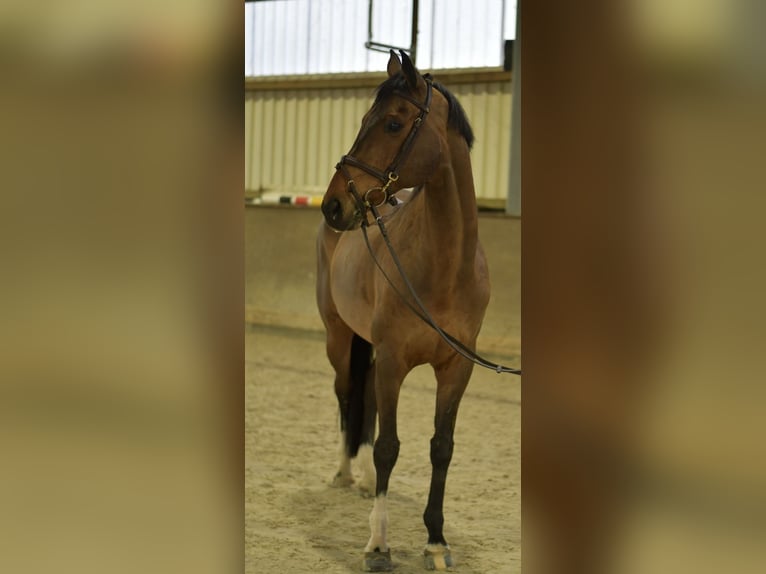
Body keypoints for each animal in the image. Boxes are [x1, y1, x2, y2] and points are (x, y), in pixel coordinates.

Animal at [315, 49, 490, 571]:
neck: (445, 268)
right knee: (346, 396)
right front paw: (378, 544)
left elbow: (441, 448)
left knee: (366, 400)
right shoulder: (394, 360)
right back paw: (346, 472)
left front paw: (435, 541)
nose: (334, 204)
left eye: (393, 124)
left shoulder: (455, 368)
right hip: (339, 338)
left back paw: (365, 480)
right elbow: (389, 447)